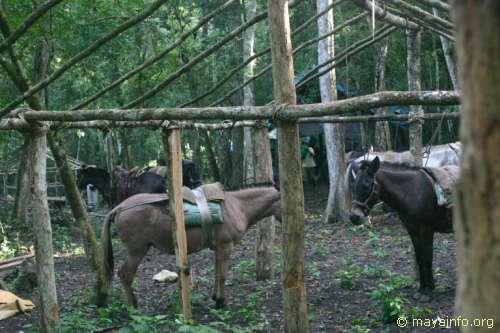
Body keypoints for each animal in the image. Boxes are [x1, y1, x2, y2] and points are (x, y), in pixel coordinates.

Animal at [100, 184, 282, 306]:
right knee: (125, 274)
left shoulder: (218, 248)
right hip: (137, 251)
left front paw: (215, 297)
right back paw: (131, 306)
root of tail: (119, 207)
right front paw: (221, 302)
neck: (237, 207)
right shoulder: (226, 246)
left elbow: (216, 273)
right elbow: (222, 275)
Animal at [350, 156, 456, 298]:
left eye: (366, 185)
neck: (412, 191)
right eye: (353, 186)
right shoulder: (412, 230)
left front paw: (428, 291)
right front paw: (422, 288)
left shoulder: (427, 229)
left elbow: (427, 257)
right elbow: (419, 258)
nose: (353, 217)